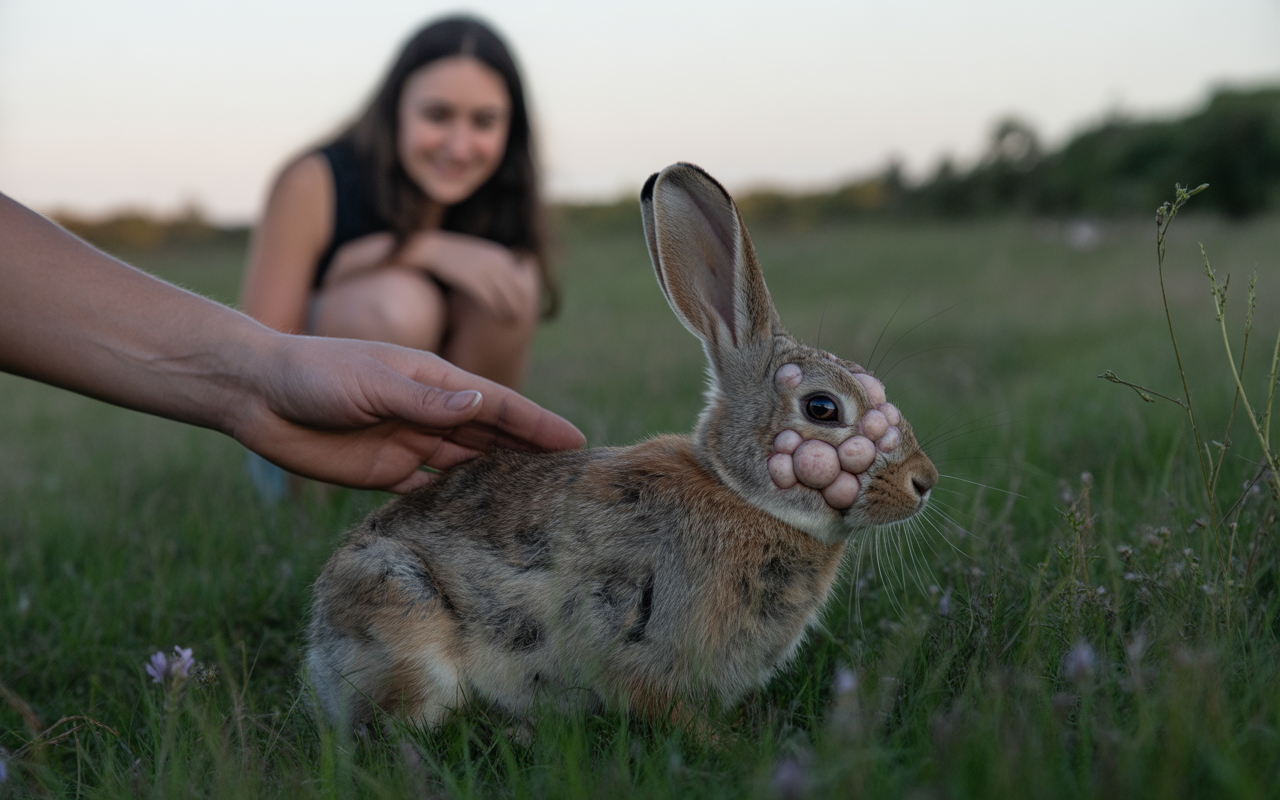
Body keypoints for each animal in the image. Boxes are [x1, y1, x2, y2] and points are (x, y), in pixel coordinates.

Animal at [305, 163, 937, 732]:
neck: (741, 494)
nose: (924, 481)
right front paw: (719, 743)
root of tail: (319, 651)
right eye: (822, 409)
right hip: (405, 613)